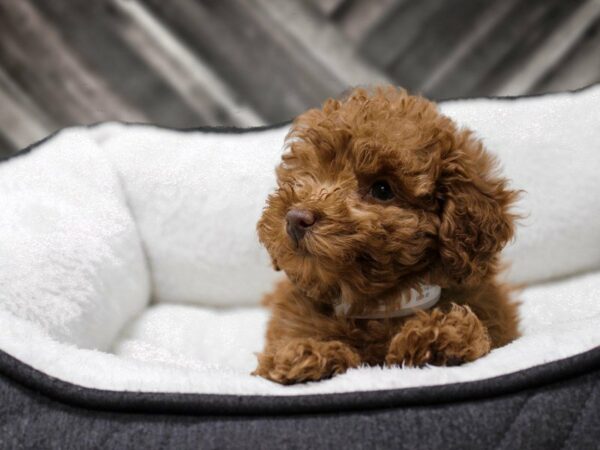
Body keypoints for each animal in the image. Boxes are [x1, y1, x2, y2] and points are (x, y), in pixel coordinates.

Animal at [251, 86, 516, 384]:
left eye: (382, 189)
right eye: (305, 176)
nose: (296, 218)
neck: (375, 305)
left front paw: (439, 334)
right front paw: (306, 352)